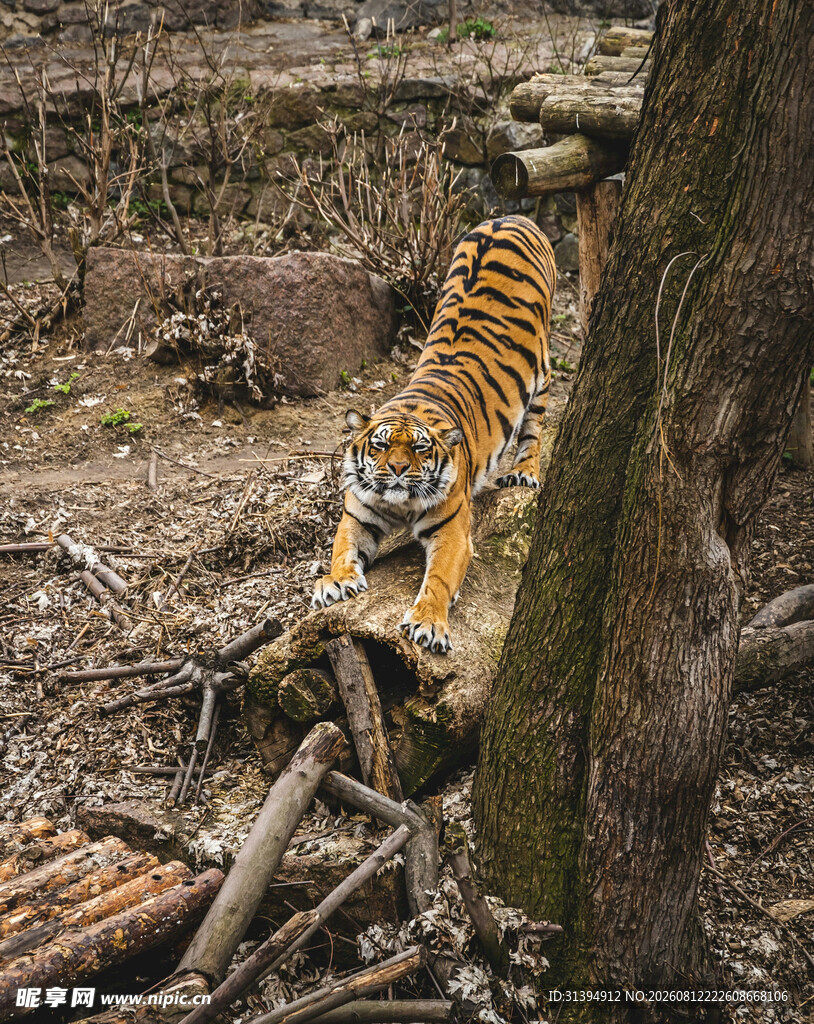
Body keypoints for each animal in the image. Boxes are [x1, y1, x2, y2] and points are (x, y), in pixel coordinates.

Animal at [312, 215, 556, 654]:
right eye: (380, 445)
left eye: (421, 448)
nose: (395, 469)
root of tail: (511, 217)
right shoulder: (358, 515)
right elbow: (341, 549)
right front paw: (335, 581)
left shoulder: (453, 530)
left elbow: (439, 579)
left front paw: (428, 624)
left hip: (540, 369)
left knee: (535, 423)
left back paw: (523, 473)